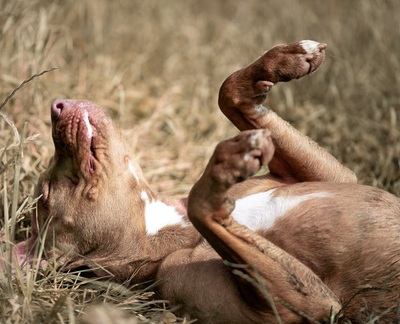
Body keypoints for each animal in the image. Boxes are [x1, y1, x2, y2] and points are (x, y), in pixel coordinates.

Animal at [13, 41, 400, 324]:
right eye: (46, 193)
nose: (56, 106)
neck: (163, 229)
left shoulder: (336, 176)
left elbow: (227, 91)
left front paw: (282, 61)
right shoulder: (305, 308)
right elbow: (202, 202)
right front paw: (221, 167)